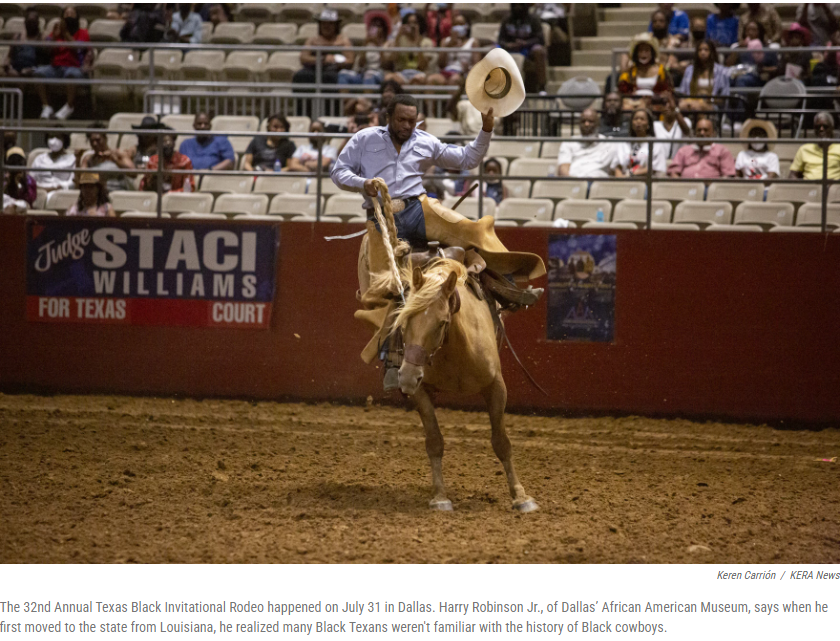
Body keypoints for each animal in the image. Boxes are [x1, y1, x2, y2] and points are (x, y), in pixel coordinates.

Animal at [394, 258, 540, 512]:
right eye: (405, 320)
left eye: (442, 322)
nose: (407, 377)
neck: (457, 347)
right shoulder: (420, 391)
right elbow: (434, 441)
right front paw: (440, 496)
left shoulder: (496, 387)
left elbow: (501, 442)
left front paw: (520, 496)